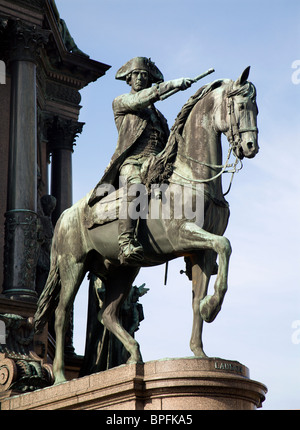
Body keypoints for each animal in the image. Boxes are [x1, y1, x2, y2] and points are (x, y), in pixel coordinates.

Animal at [34, 66, 258, 382]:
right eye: (240, 106)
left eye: (256, 108)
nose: (251, 146)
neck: (191, 177)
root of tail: (64, 215)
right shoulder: (184, 235)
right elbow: (225, 245)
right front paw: (212, 307)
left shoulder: (201, 251)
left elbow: (198, 294)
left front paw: (200, 346)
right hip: (73, 266)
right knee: (61, 314)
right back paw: (62, 378)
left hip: (122, 269)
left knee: (107, 314)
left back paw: (134, 358)